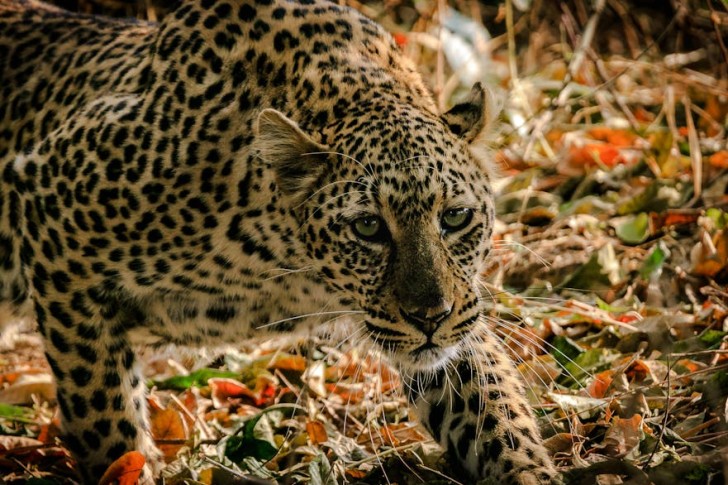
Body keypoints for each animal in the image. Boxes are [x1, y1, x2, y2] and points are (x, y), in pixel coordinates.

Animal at [0, 0, 558, 483]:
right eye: (368, 227)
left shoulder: (457, 315)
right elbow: (105, 414)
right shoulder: (52, 210)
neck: (294, 264)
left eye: (456, 217)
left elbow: (494, 411)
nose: (430, 318)